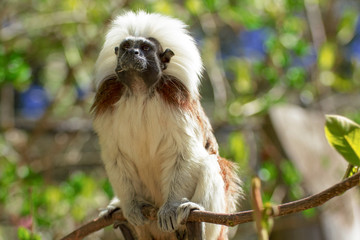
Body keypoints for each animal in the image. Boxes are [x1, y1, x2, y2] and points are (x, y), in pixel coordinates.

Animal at [91, 11, 240, 240]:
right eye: (126, 46)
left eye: (145, 48)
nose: (132, 52)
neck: (140, 93)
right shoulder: (108, 105)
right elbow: (115, 157)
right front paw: (131, 208)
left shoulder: (175, 101)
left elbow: (185, 153)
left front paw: (170, 208)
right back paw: (121, 216)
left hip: (218, 225)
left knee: (210, 163)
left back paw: (195, 219)